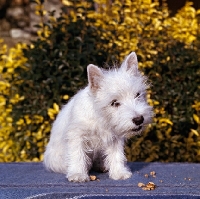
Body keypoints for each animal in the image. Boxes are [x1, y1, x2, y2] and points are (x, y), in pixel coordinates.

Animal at [43, 52, 153, 182]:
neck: (101, 118)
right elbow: (77, 155)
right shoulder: (76, 135)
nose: (139, 119)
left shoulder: (114, 139)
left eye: (137, 95)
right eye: (114, 103)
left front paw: (119, 173)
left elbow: (117, 155)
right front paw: (78, 174)